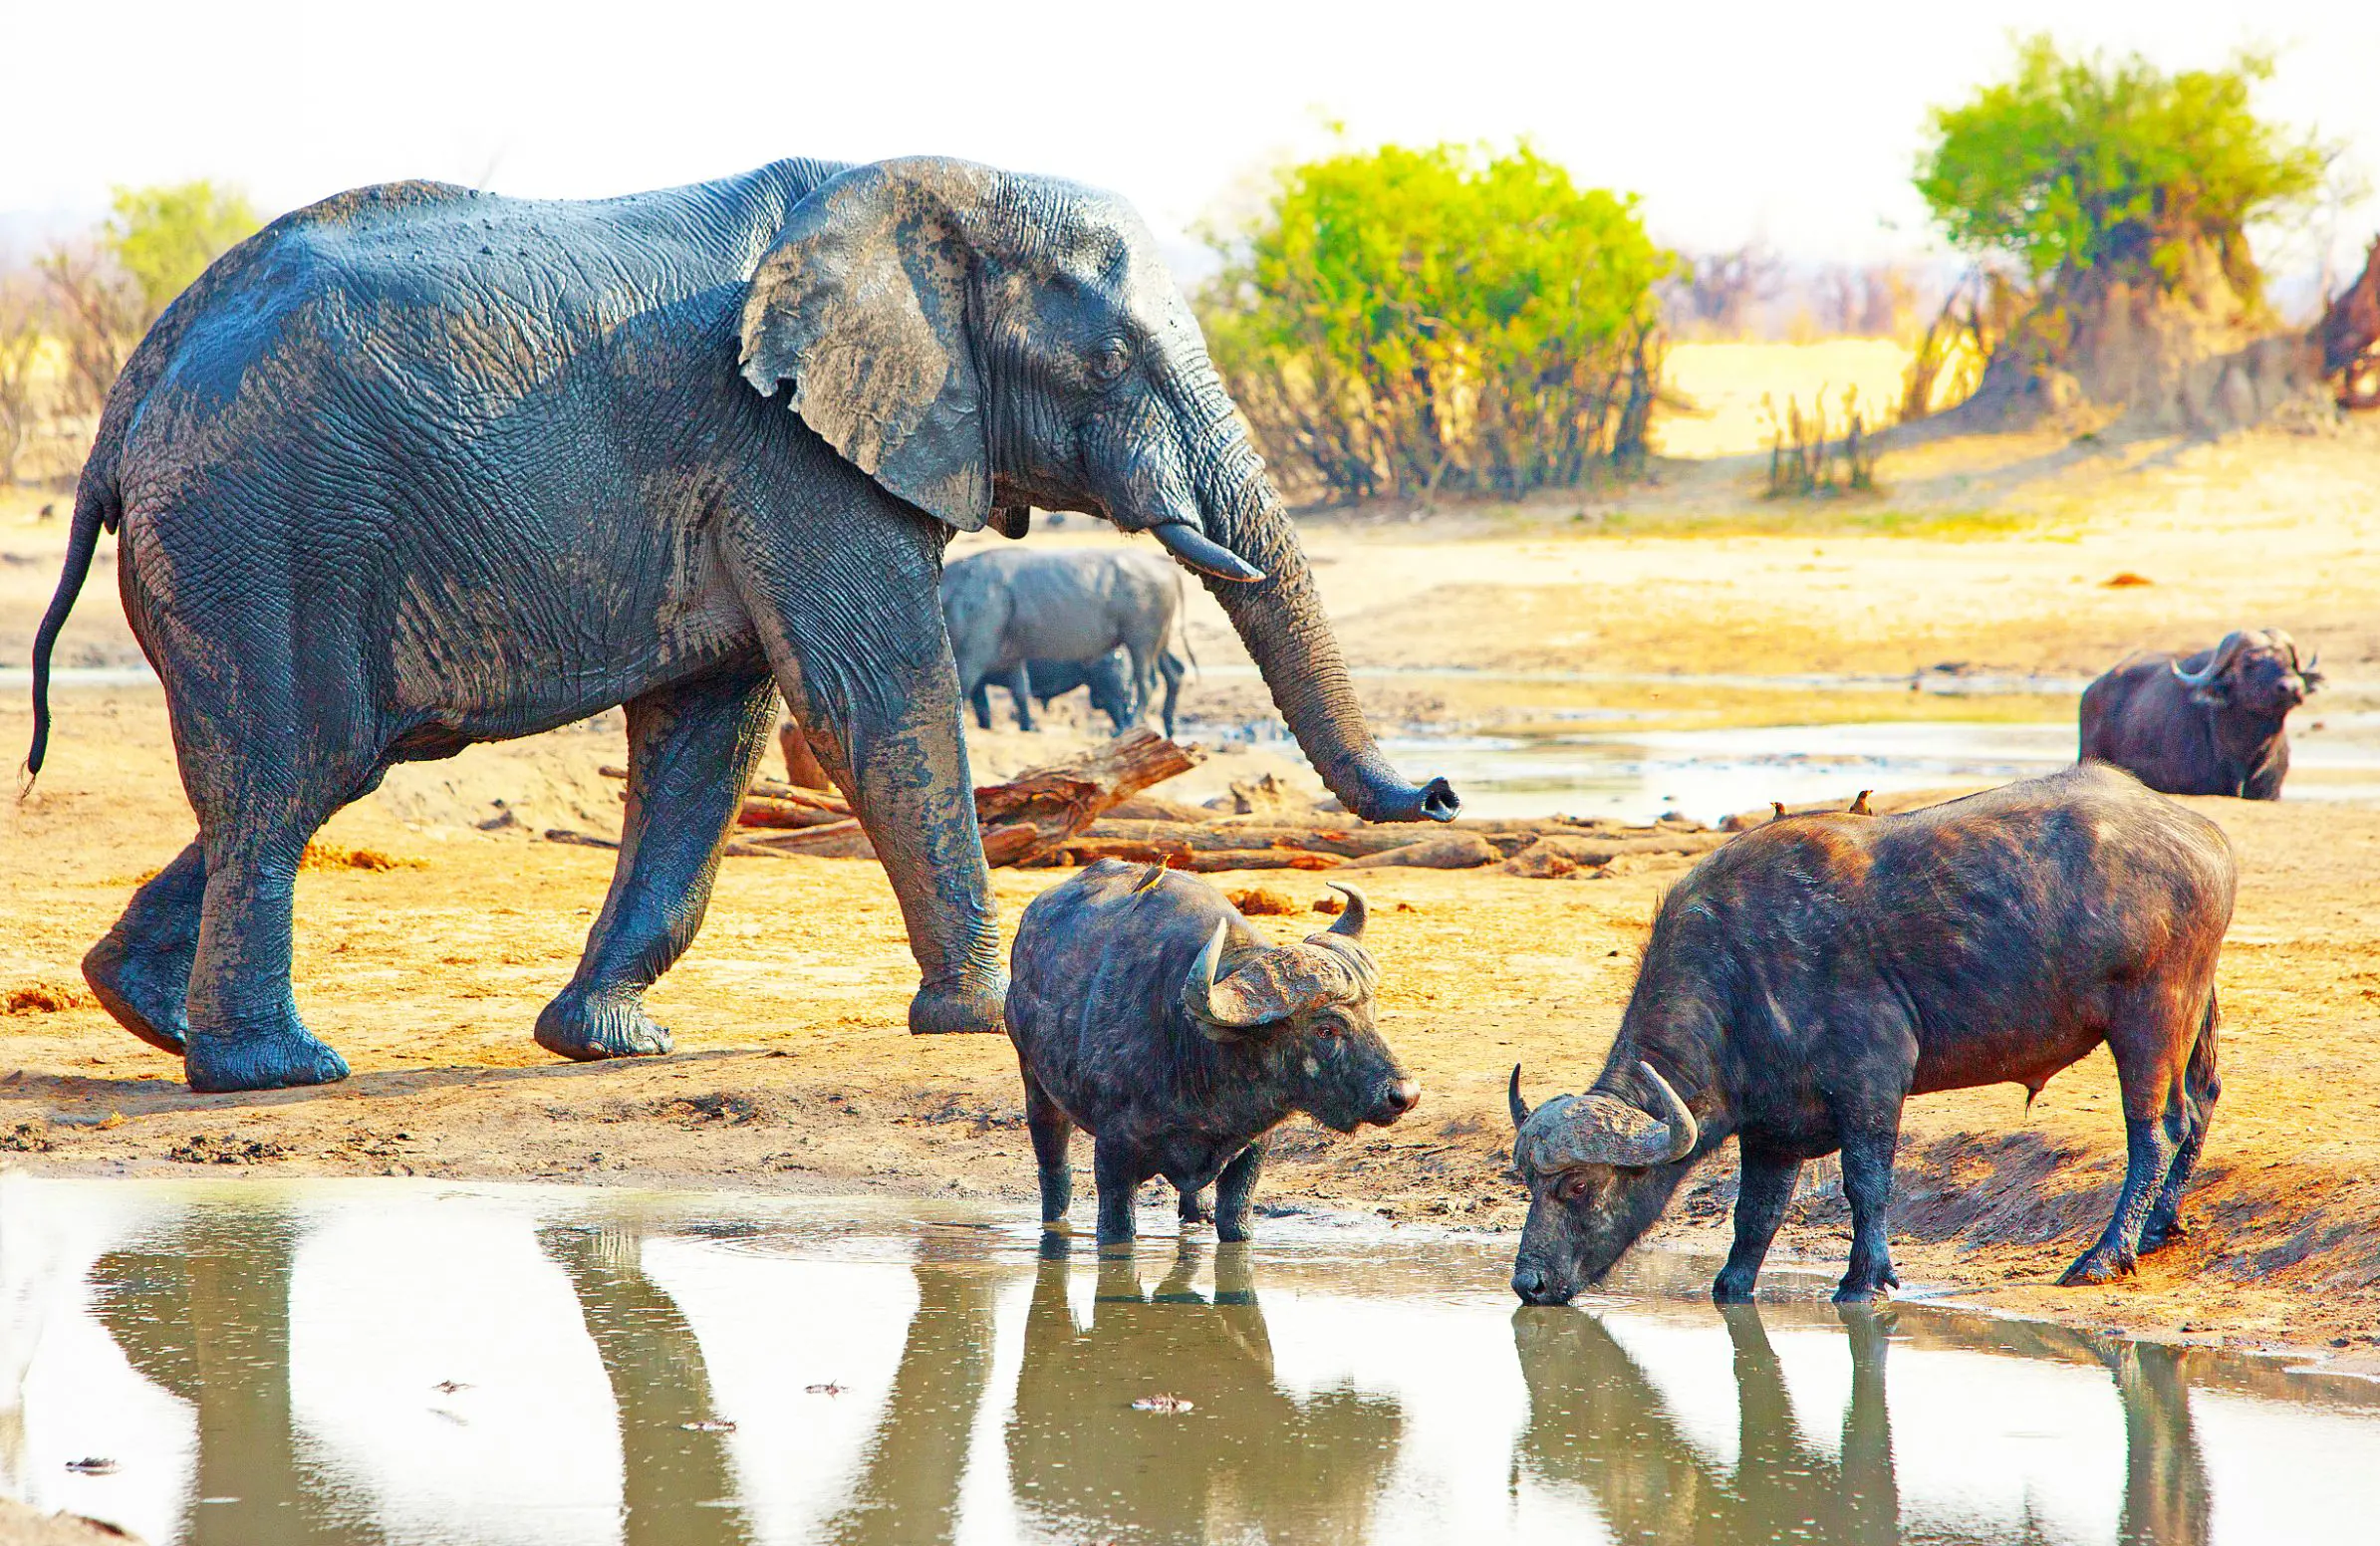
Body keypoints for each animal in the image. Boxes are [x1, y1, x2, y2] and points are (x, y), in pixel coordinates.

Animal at [942, 546, 1190, 736]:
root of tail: (1165, 567)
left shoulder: (971, 660)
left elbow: (963, 696)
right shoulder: (1012, 659)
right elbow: (1020, 692)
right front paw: (1028, 727)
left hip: (1141, 642)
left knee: (1146, 683)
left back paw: (1130, 725)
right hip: (1159, 642)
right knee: (1173, 674)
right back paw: (1168, 726)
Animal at [1005, 859, 1420, 1243]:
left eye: (1371, 1013)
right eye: (1326, 1029)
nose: (1405, 1095)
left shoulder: (1252, 1151)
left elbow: (1236, 1222)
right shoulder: (1113, 1157)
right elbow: (1116, 1230)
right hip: (1035, 1082)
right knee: (1054, 1168)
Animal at [1508, 764, 2234, 1306]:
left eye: (1577, 1187)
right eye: (1526, 1183)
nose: (1528, 1283)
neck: (1741, 972)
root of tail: (2203, 837)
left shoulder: (1872, 1084)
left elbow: (1866, 1184)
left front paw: (1865, 1279)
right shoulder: (1774, 1129)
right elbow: (1756, 1212)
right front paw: (1732, 1285)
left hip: (2149, 1015)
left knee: (2153, 1131)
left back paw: (2105, 1256)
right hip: (2192, 1012)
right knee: (2198, 1108)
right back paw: (2158, 1229)